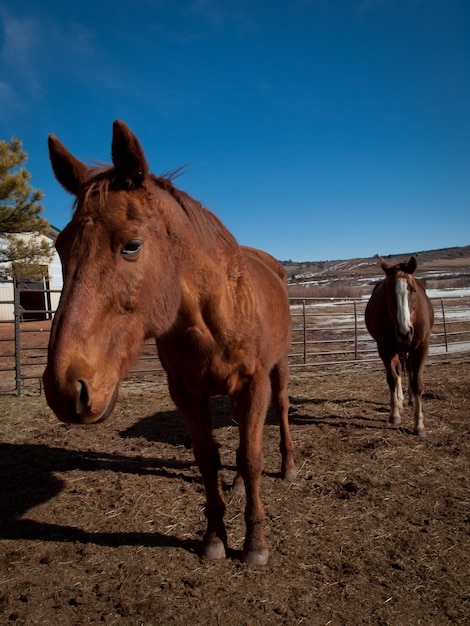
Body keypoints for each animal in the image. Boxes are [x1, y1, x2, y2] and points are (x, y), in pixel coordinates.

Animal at [43, 119, 294, 564]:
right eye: (60, 246)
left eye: (131, 245)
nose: (64, 388)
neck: (210, 316)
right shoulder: (187, 394)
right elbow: (209, 460)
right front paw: (214, 538)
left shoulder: (253, 385)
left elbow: (250, 457)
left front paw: (255, 544)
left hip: (277, 369)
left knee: (280, 411)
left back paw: (289, 465)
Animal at [366, 256, 436, 436]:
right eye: (389, 292)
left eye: (414, 290)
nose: (405, 332)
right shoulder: (384, 348)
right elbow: (392, 378)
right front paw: (395, 414)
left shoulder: (421, 347)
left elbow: (417, 383)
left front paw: (419, 425)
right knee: (398, 371)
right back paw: (400, 400)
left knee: (410, 369)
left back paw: (410, 399)